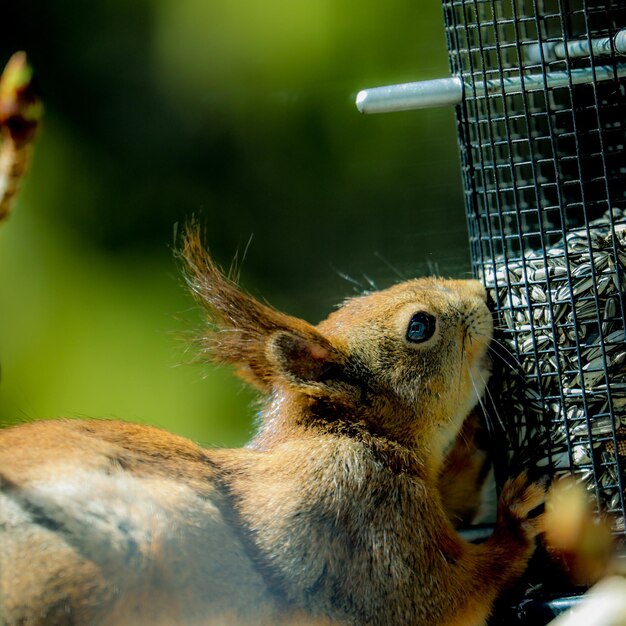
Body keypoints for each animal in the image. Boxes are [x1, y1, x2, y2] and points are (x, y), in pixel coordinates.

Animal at [0, 225, 540, 624]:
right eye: (420, 326)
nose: (483, 292)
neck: (345, 432)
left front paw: (475, 437)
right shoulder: (357, 506)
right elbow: (436, 598)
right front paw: (517, 522)